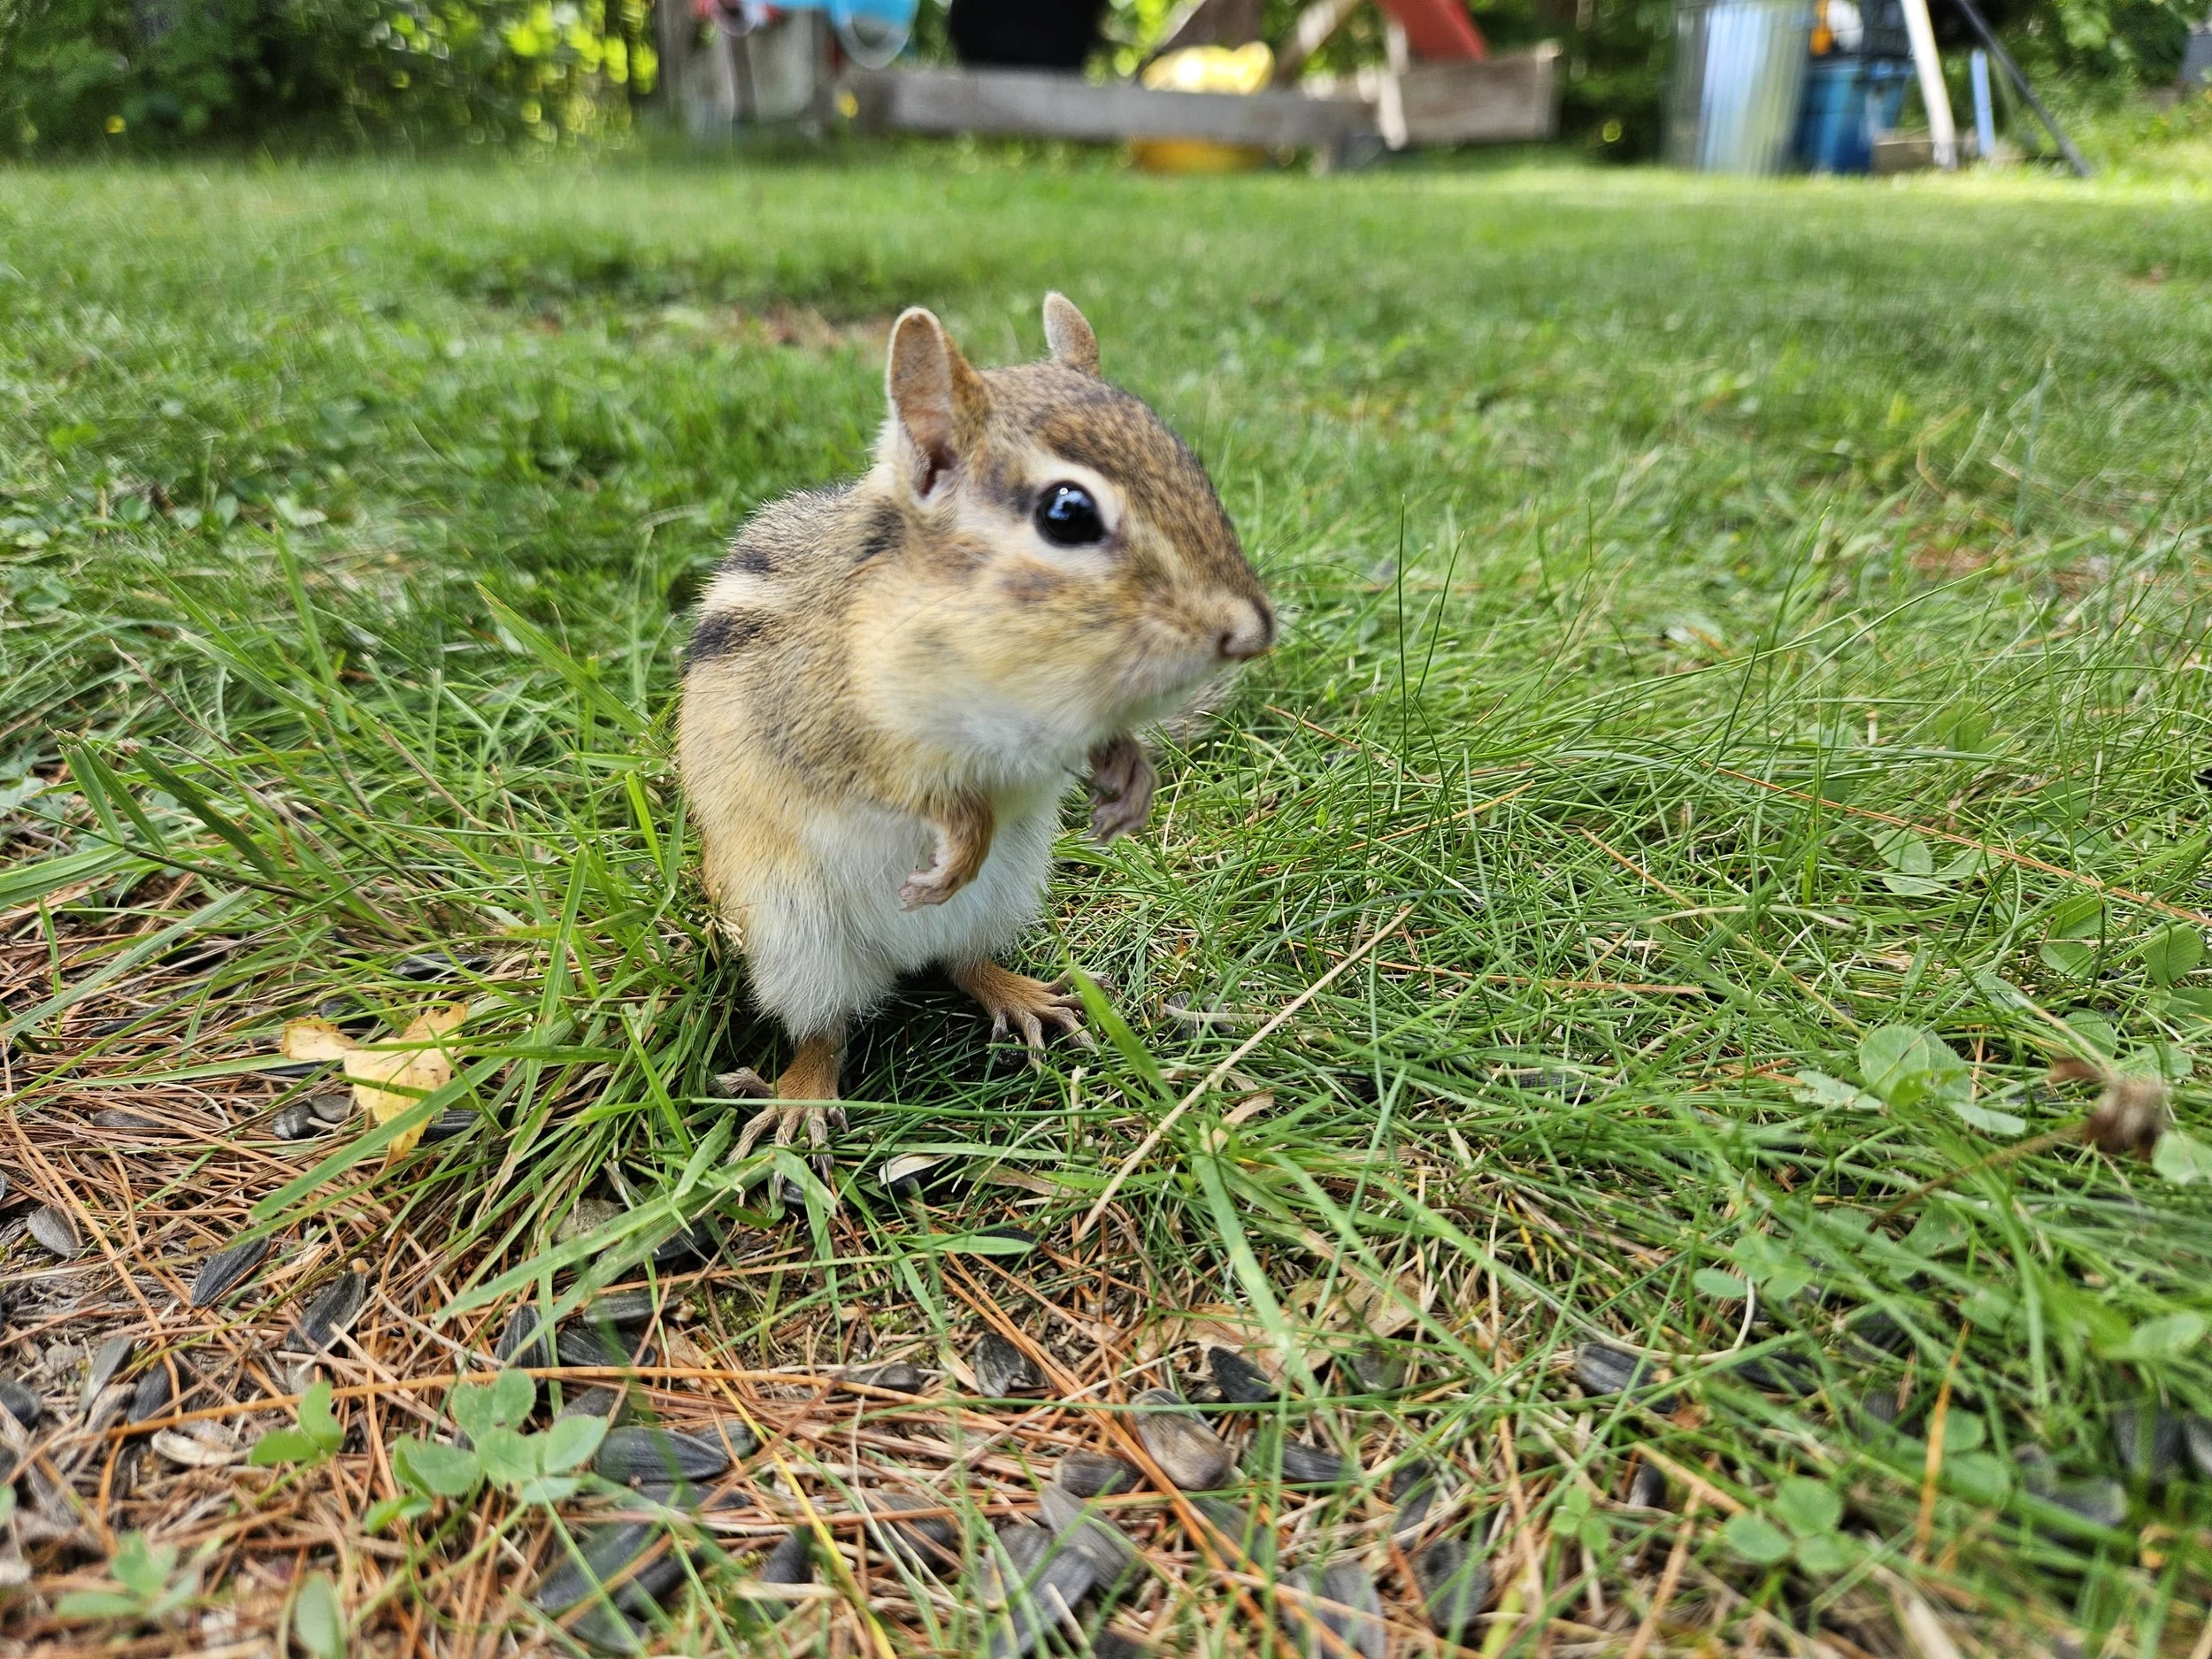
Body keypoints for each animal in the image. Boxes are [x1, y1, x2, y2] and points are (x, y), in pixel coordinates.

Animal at [675, 292, 1274, 1182]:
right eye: (1068, 513)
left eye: (1190, 463)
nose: (1252, 629)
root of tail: (897, 951)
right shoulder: (823, 718)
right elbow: (906, 784)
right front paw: (961, 836)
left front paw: (1128, 775)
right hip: (799, 941)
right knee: (825, 1026)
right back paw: (802, 1097)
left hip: (1009, 892)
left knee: (960, 959)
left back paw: (1024, 994)